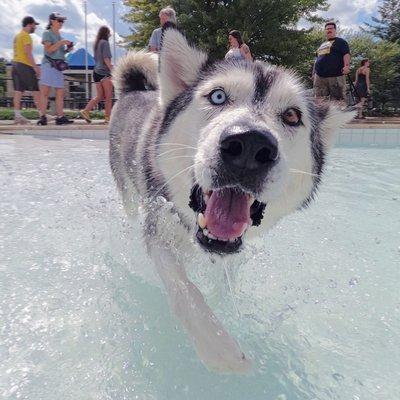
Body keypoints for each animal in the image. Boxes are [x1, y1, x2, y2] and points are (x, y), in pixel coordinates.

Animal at [109, 29, 354, 374]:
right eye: (218, 97)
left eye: (292, 115)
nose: (250, 145)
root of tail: (135, 90)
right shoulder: (159, 231)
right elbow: (185, 291)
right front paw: (219, 349)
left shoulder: (232, 253)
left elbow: (224, 286)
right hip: (128, 193)